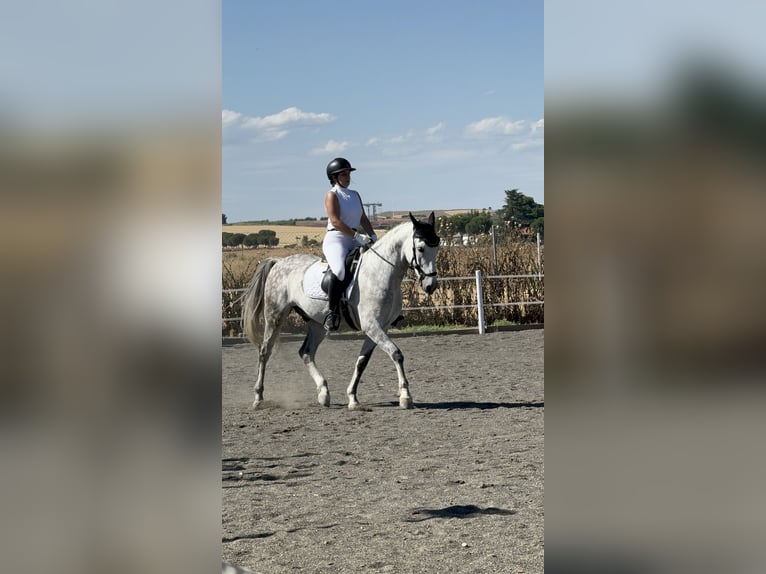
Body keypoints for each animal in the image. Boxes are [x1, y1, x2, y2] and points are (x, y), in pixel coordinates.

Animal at [243, 215, 440, 410]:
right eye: (421, 248)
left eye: (437, 247)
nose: (431, 286)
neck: (380, 272)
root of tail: (279, 262)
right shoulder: (372, 326)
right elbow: (396, 354)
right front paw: (406, 396)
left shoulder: (379, 328)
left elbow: (362, 362)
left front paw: (353, 398)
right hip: (274, 316)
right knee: (265, 351)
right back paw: (259, 398)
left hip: (317, 324)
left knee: (306, 352)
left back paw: (323, 393)